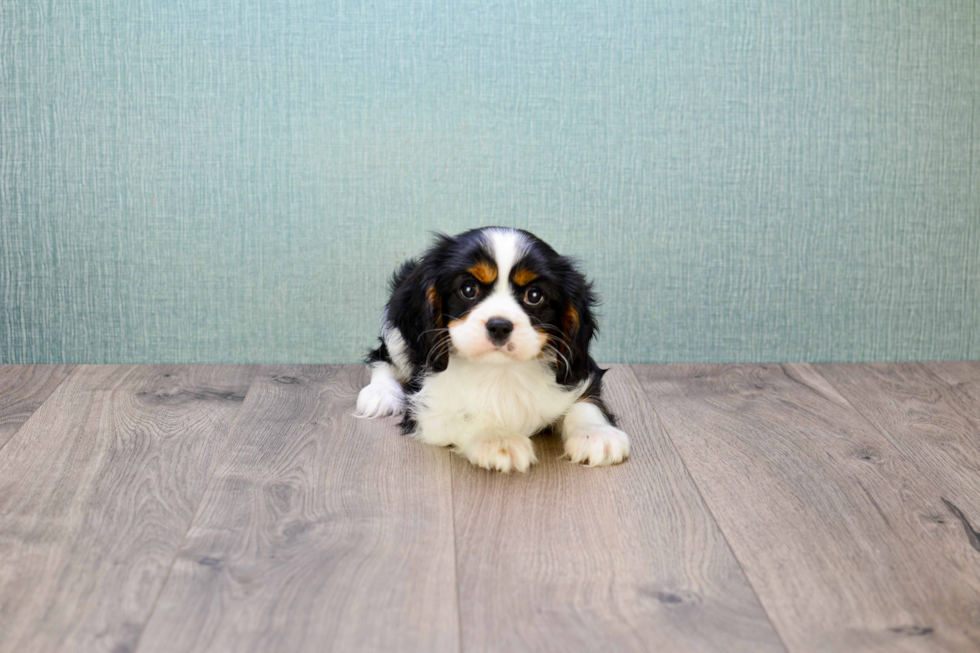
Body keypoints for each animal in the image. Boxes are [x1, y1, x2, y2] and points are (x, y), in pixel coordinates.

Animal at [356, 227, 632, 472]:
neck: (501, 370)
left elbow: (585, 401)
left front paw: (596, 435)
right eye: (468, 289)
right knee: (382, 358)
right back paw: (380, 394)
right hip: (396, 332)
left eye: (534, 295)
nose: (499, 325)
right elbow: (466, 416)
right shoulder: (426, 409)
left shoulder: (578, 372)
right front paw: (498, 438)